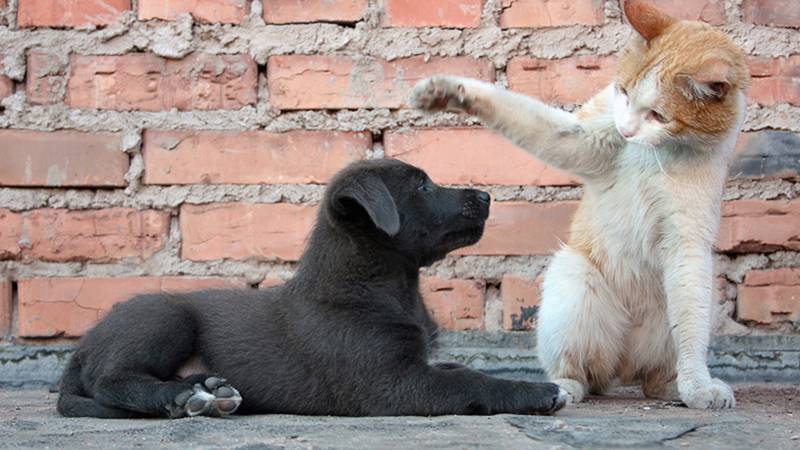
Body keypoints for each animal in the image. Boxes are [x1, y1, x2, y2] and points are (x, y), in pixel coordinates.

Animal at [412, 0, 752, 408]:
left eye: (658, 115)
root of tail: (624, 365)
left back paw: (671, 388)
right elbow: (522, 113)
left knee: (655, 373)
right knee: (583, 373)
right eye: (623, 92)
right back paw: (563, 389)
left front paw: (698, 386)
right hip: (573, 278)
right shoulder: (582, 139)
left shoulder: (689, 245)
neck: (655, 153)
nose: (626, 130)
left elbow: (691, 330)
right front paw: (446, 91)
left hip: (700, 291)